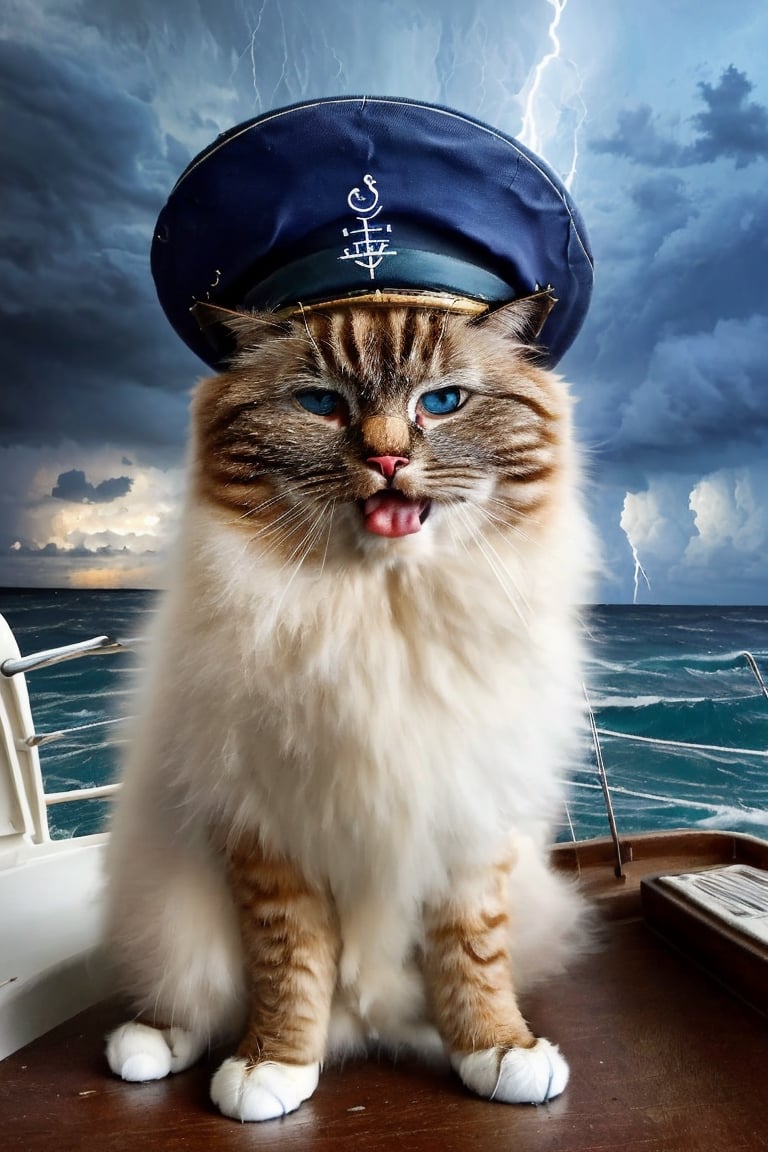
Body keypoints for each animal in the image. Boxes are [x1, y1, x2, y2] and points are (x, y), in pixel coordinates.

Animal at [101, 292, 594, 1119]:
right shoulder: (267, 833)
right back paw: (150, 1045)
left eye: (443, 402)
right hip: (166, 910)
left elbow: (473, 958)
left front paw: (497, 1052)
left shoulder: (470, 819)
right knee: (190, 1001)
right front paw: (273, 1067)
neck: (382, 608)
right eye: (320, 405)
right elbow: (290, 967)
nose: (389, 462)